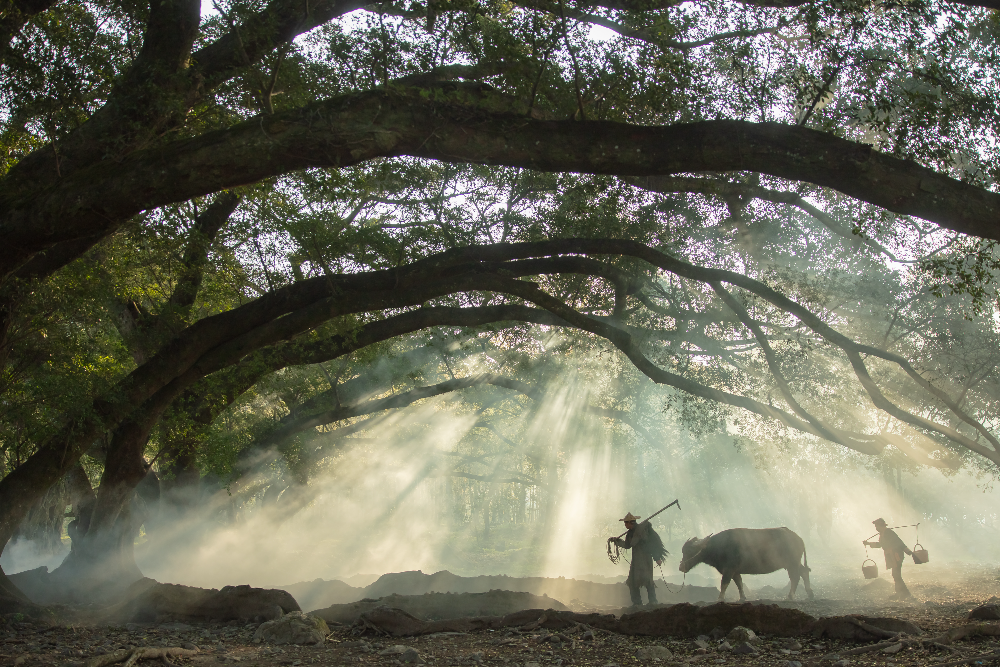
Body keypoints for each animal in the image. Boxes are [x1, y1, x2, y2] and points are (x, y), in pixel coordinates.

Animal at [680, 528, 812, 604]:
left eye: (690, 551)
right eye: (683, 551)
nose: (681, 567)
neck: (719, 546)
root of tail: (799, 539)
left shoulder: (729, 569)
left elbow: (724, 583)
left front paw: (720, 598)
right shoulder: (735, 571)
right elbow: (739, 583)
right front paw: (742, 598)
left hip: (792, 563)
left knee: (795, 577)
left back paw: (790, 596)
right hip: (794, 563)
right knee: (804, 572)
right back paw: (809, 593)